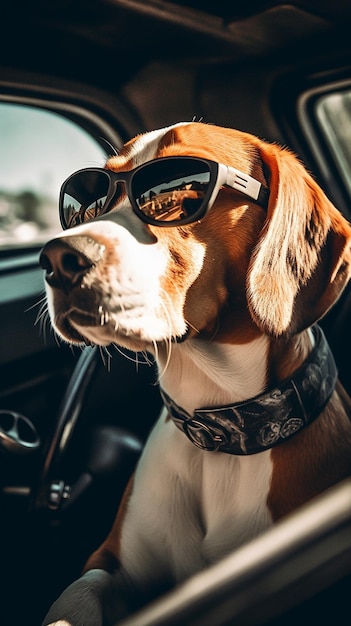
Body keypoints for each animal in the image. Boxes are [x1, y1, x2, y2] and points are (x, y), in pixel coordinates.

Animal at [40, 122, 351, 624]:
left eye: (182, 194)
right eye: (90, 201)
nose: (56, 258)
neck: (219, 437)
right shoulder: (108, 560)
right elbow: (76, 596)